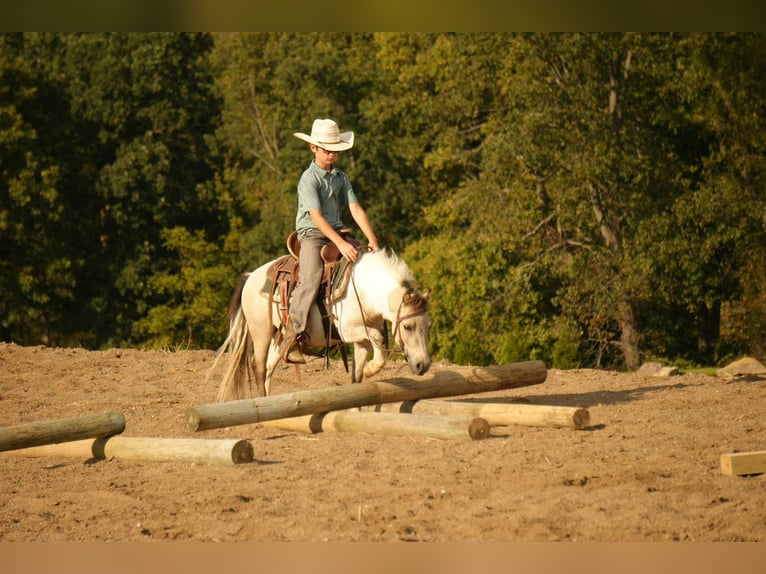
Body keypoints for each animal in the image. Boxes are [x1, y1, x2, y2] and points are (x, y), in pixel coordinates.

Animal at [211, 248, 431, 400]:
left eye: (428, 326)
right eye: (408, 327)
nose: (423, 365)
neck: (363, 290)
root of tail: (251, 276)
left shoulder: (361, 340)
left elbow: (357, 375)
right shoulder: (346, 330)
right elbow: (378, 337)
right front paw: (372, 369)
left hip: (278, 336)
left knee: (269, 366)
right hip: (261, 331)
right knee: (258, 366)